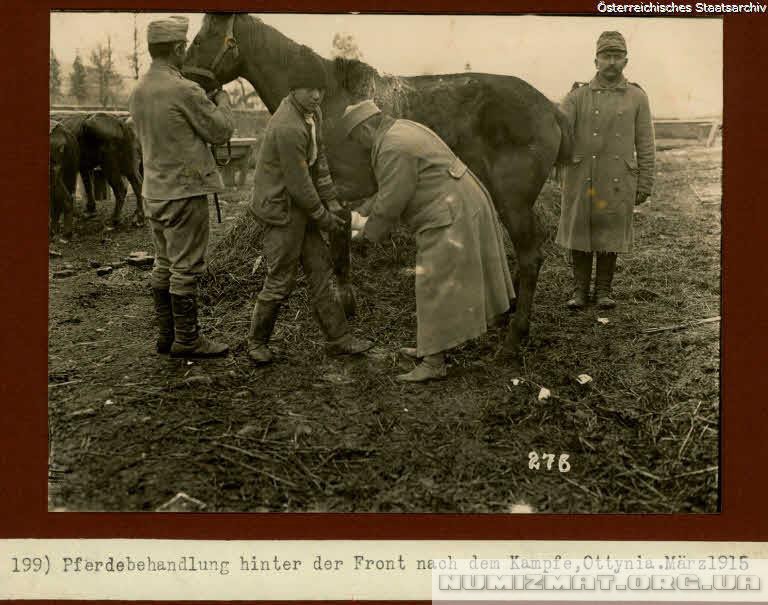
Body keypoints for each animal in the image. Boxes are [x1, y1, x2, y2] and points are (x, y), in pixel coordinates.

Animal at [184, 13, 568, 364]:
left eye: (201, 39)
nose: (186, 81)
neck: (329, 101)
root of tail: (550, 108)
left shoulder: (337, 196)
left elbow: (339, 255)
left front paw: (347, 308)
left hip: (513, 202)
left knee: (531, 258)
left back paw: (513, 339)